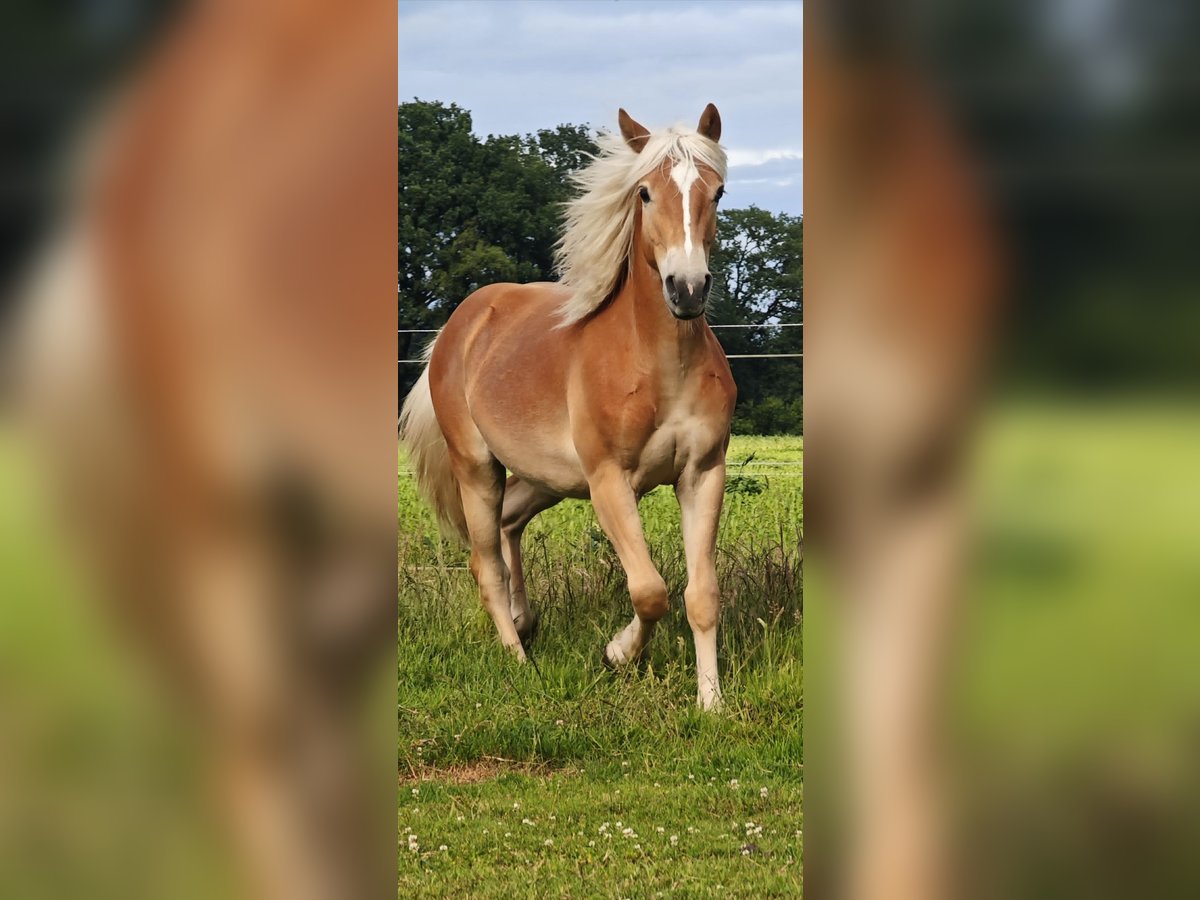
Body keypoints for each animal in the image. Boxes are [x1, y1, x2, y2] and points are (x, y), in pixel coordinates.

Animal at [403, 105, 734, 710]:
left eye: (717, 191)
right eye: (645, 193)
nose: (688, 288)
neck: (659, 367)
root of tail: (456, 326)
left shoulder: (702, 473)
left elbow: (701, 595)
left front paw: (712, 702)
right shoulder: (609, 481)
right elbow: (649, 590)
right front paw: (619, 652)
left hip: (546, 479)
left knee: (509, 525)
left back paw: (525, 620)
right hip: (478, 469)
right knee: (484, 563)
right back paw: (518, 659)